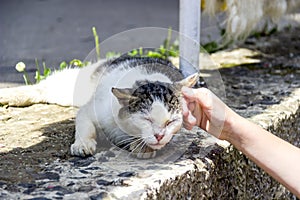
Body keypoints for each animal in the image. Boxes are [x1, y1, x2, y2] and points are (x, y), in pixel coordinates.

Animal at [0, 55, 199, 158]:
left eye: (170, 122)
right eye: (146, 119)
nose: (159, 135)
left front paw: (143, 146)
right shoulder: (91, 109)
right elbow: (85, 125)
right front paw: (83, 144)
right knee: (42, 88)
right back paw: (9, 95)